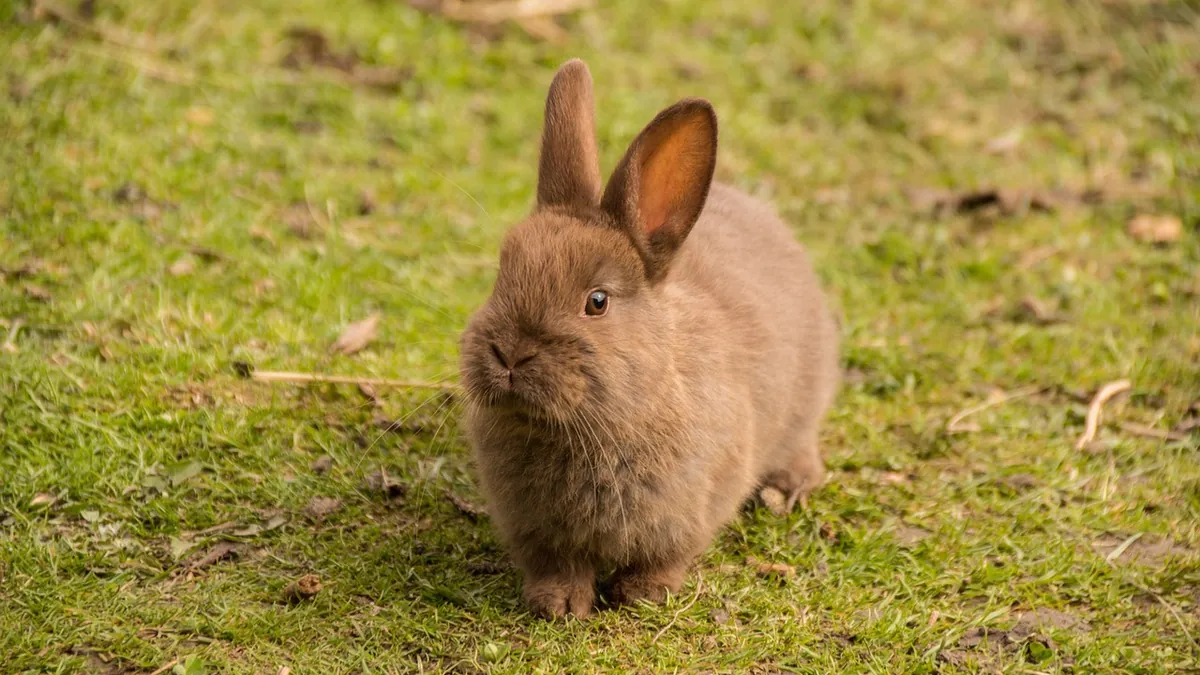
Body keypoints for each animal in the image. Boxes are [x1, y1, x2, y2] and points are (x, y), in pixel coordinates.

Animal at [458, 59, 840, 619]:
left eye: (597, 301)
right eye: (501, 276)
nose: (509, 354)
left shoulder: (691, 511)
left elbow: (666, 558)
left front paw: (641, 595)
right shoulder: (536, 533)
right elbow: (556, 565)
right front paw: (558, 604)